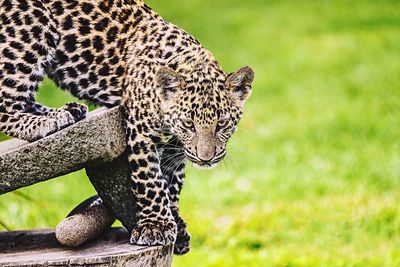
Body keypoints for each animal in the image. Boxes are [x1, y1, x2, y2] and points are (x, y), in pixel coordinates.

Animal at [0, 0, 255, 256]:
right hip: (30, 28)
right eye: (188, 124)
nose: (206, 159)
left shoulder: (176, 147)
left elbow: (171, 180)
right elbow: (150, 180)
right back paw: (49, 121)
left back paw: (68, 111)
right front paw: (155, 226)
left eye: (222, 123)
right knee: (5, 104)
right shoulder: (141, 131)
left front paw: (175, 222)